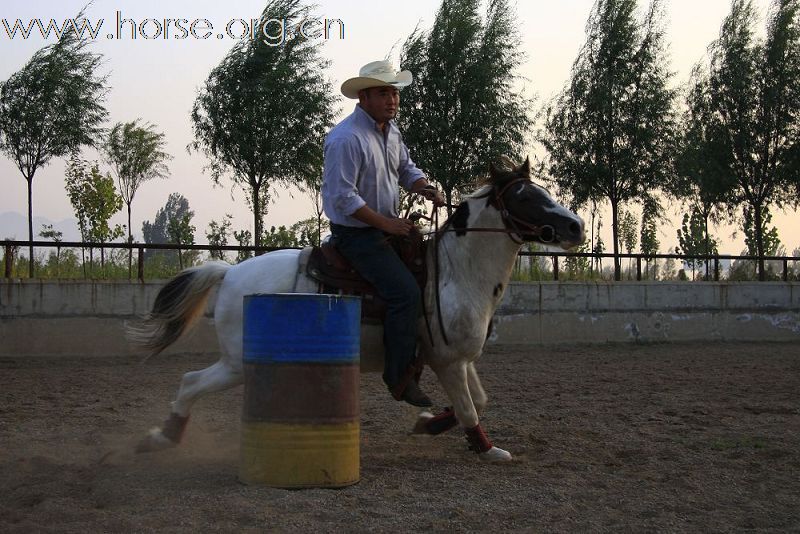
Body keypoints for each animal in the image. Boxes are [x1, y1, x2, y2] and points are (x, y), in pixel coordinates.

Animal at [130, 157, 580, 462]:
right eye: (525, 196)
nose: (575, 226)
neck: (457, 271)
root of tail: (228, 273)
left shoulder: (461, 359)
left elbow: (479, 401)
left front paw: (429, 424)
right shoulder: (446, 360)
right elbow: (470, 408)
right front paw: (486, 449)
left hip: (236, 362)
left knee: (190, 381)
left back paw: (158, 438)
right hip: (239, 361)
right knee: (191, 382)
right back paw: (161, 439)